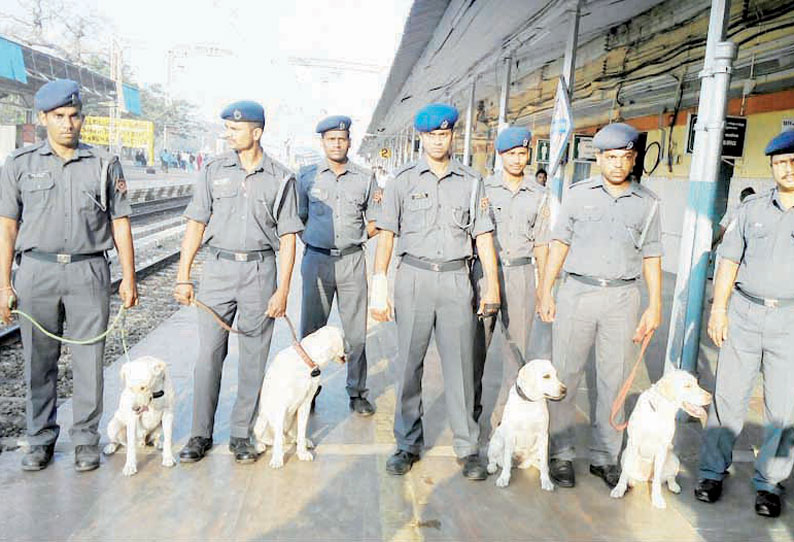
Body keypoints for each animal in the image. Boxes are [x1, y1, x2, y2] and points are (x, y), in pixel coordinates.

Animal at [251, 328, 344, 472]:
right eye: (344, 338)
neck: (307, 362)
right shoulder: (280, 406)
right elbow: (278, 440)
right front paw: (277, 459)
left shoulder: (305, 403)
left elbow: (301, 431)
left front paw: (302, 453)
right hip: (262, 421)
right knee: (264, 437)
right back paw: (259, 445)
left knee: (295, 436)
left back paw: (304, 441)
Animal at [486, 360, 568, 490]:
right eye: (546, 376)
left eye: (556, 375)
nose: (564, 390)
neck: (529, 403)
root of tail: (520, 462)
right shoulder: (510, 435)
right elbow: (507, 462)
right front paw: (504, 478)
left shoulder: (543, 436)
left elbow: (544, 463)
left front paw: (546, 481)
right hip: (496, 441)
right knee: (494, 459)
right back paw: (492, 467)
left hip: (537, 448)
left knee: (536, 462)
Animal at [608, 370, 708, 510]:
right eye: (687, 386)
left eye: (697, 383)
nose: (710, 397)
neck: (658, 411)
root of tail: (646, 477)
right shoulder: (633, 443)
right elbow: (624, 473)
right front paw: (619, 489)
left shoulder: (662, 448)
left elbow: (657, 481)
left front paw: (657, 499)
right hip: (625, 454)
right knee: (629, 472)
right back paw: (631, 481)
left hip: (674, 459)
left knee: (667, 478)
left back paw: (674, 486)